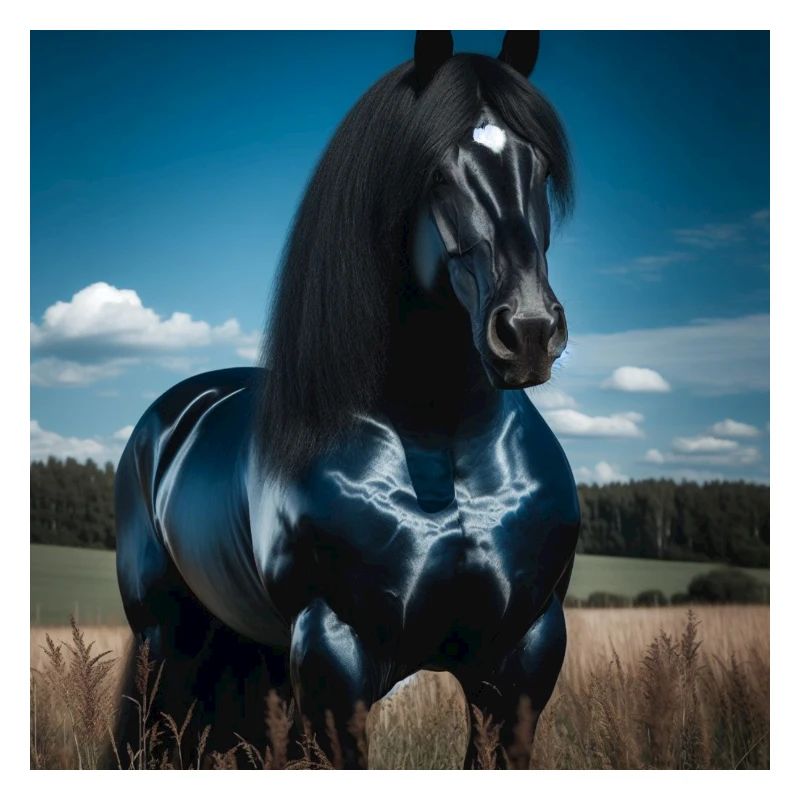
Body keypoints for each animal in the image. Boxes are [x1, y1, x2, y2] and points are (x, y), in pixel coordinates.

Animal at [113, 30, 579, 769]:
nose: (529, 330)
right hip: (167, 646)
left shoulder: (522, 660)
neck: (445, 448)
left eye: (536, 165)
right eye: (434, 169)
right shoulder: (337, 658)